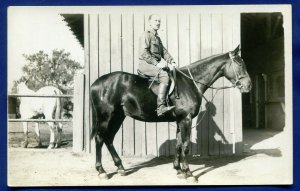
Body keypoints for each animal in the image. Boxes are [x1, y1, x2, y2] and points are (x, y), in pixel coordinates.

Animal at [89, 45, 251, 182]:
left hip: (118, 117)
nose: (248, 86)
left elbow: (179, 144)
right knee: (99, 139)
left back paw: (120, 168)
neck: (190, 82)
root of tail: (96, 83)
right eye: (240, 64)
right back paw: (102, 171)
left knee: (109, 139)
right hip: (106, 117)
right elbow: (185, 146)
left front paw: (179, 170)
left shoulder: (180, 120)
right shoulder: (186, 119)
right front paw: (189, 173)